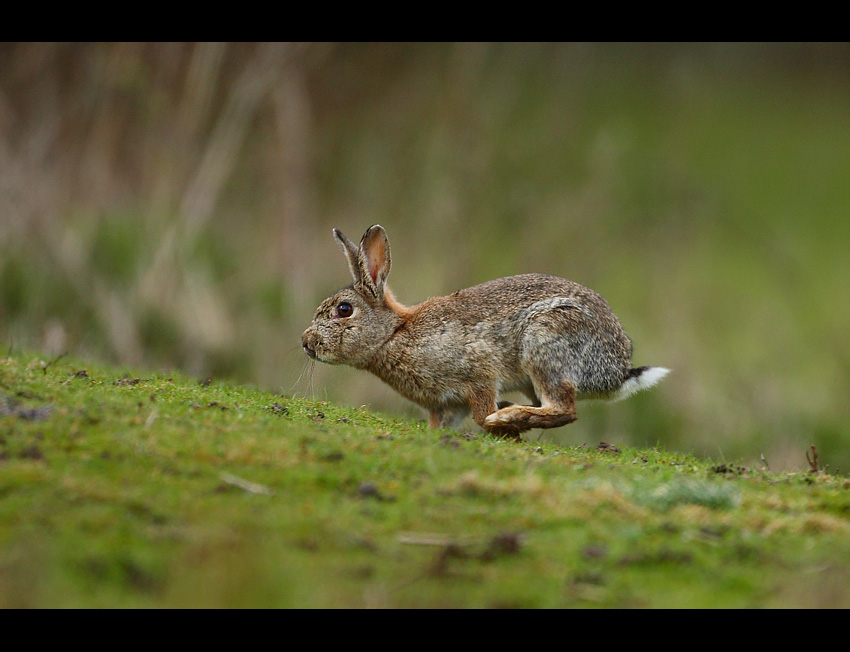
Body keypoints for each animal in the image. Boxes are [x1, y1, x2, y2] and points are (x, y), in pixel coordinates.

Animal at [302, 224, 664, 438]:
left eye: (344, 310)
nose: (306, 343)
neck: (392, 334)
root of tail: (615, 371)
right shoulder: (444, 405)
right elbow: (441, 424)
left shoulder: (478, 370)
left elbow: (481, 411)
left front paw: (501, 424)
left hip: (546, 341)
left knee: (564, 409)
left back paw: (509, 417)